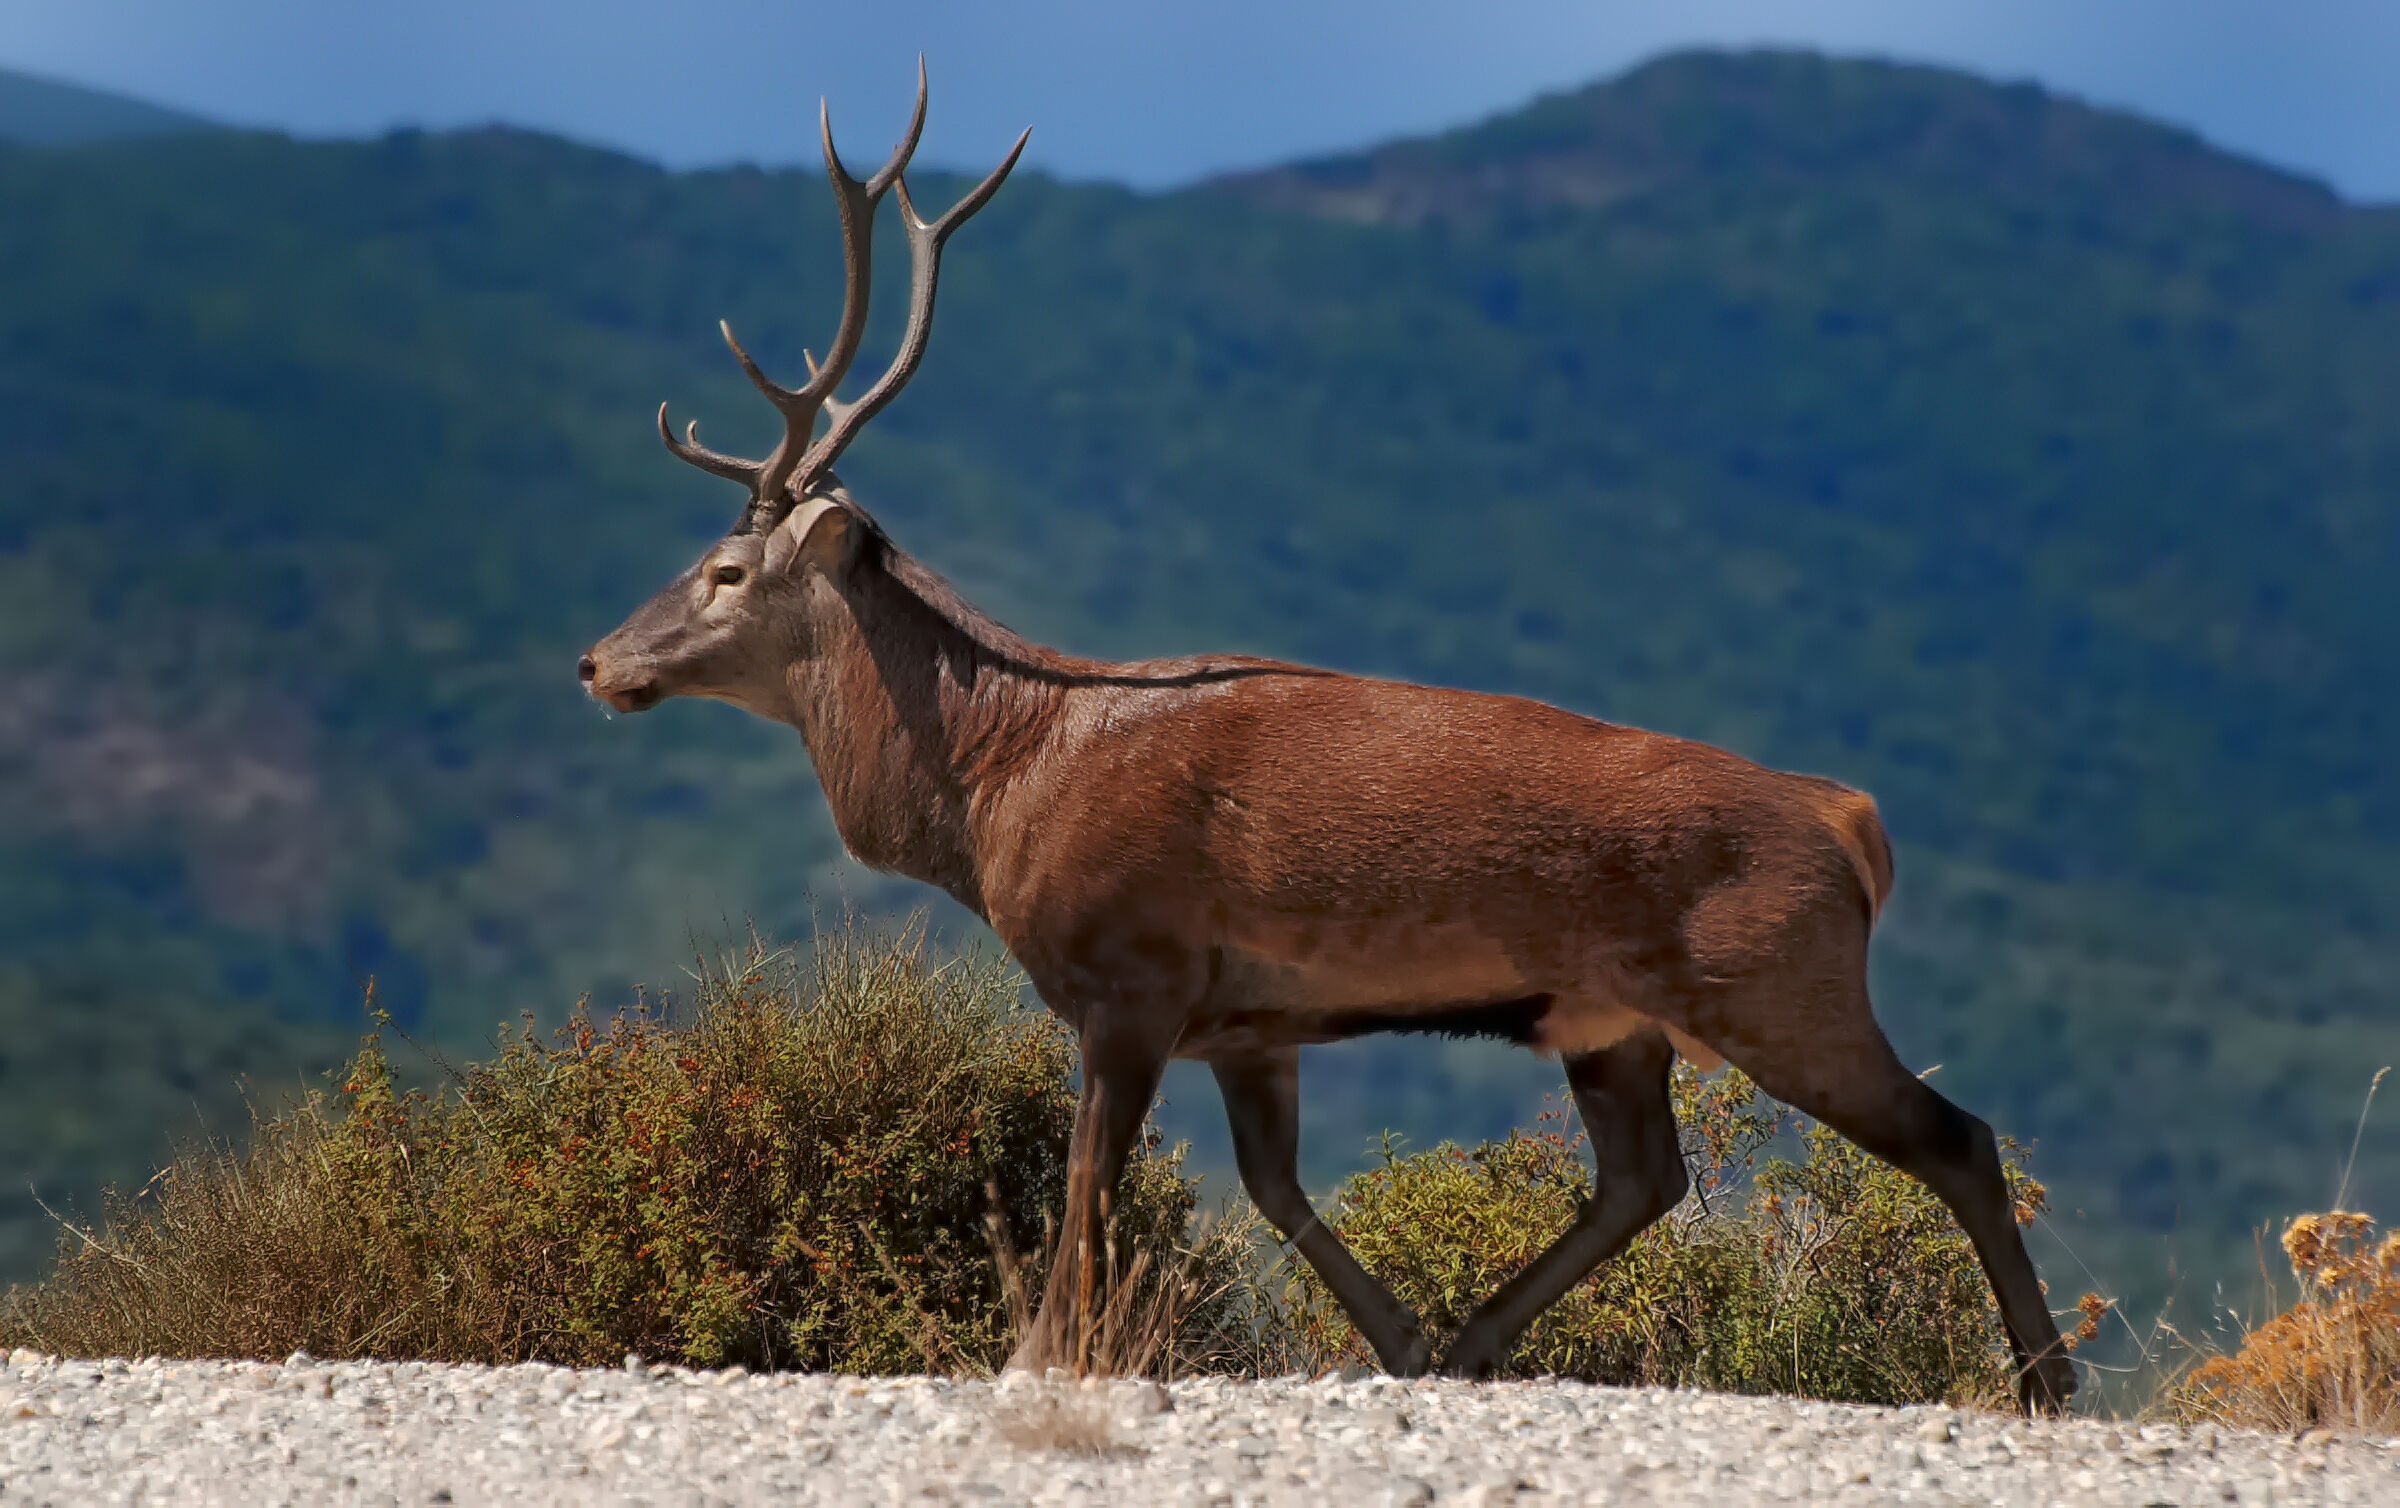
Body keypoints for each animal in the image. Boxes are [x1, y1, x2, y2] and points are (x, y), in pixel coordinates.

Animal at [577, 67, 2078, 1413]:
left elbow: (1088, 1179)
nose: (597, 660)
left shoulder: (1132, 971)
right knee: (1646, 1176)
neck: (1000, 791)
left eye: (725, 568)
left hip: (1779, 977)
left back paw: (2047, 1379)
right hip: (1613, 1017)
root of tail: (1848, 817)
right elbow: (1272, 1186)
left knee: (1956, 1136)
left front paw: (1040, 1353)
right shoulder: (1252, 1018)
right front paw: (1396, 1337)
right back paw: (1474, 1343)